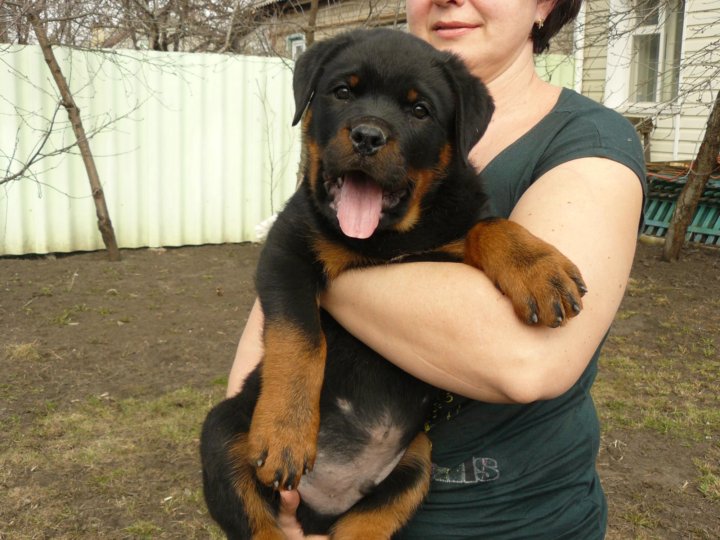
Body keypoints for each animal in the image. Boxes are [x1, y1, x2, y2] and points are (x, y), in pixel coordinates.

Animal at [201, 27, 584, 536]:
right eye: (342, 92)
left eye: (419, 110)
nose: (367, 135)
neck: (385, 239)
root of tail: (321, 506)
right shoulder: (286, 249)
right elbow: (300, 338)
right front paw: (286, 431)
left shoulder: (445, 249)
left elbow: (488, 226)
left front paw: (538, 266)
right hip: (223, 432)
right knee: (257, 522)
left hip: (417, 462)